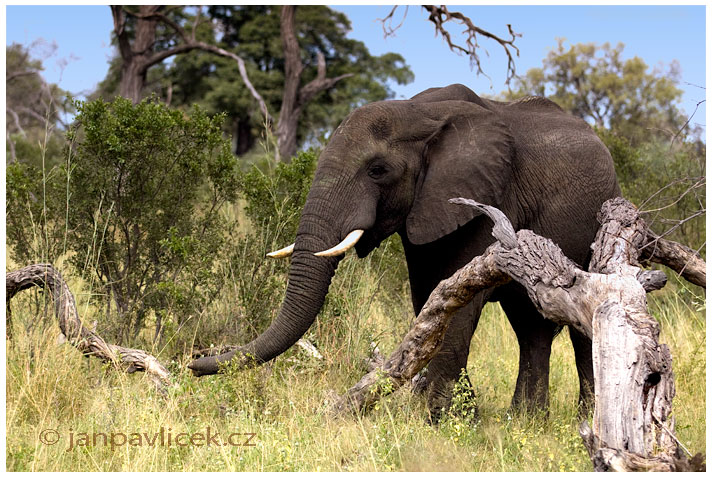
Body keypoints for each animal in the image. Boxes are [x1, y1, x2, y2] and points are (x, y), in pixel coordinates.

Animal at [188, 84, 616, 420]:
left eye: (377, 170)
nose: (193, 362)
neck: (419, 114)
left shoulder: (486, 197)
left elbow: (460, 305)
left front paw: (441, 423)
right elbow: (430, 299)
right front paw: (460, 417)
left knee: (579, 323)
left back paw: (585, 421)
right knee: (530, 325)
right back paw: (525, 421)